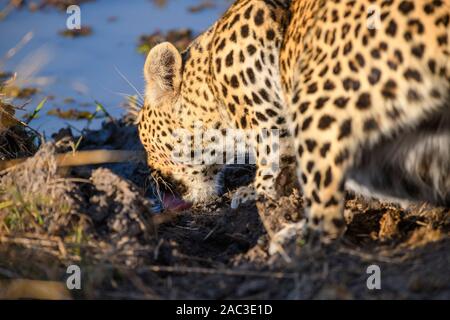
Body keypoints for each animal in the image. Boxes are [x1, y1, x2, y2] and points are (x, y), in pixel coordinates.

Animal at [139, 0, 448, 242]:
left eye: (147, 144)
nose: (152, 178)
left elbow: (272, 151)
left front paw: (255, 191)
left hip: (317, 100)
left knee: (328, 218)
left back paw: (292, 238)